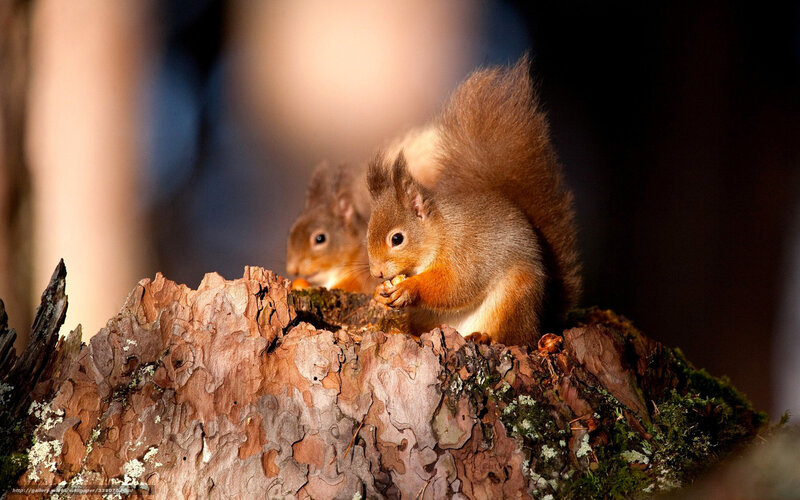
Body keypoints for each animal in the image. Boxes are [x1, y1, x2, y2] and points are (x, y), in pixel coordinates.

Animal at [366, 57, 581, 346]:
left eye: (397, 239)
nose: (376, 273)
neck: (441, 232)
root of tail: (540, 320)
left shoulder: (466, 253)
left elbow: (455, 285)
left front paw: (410, 288)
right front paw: (379, 293)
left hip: (514, 298)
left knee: (515, 338)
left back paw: (485, 337)